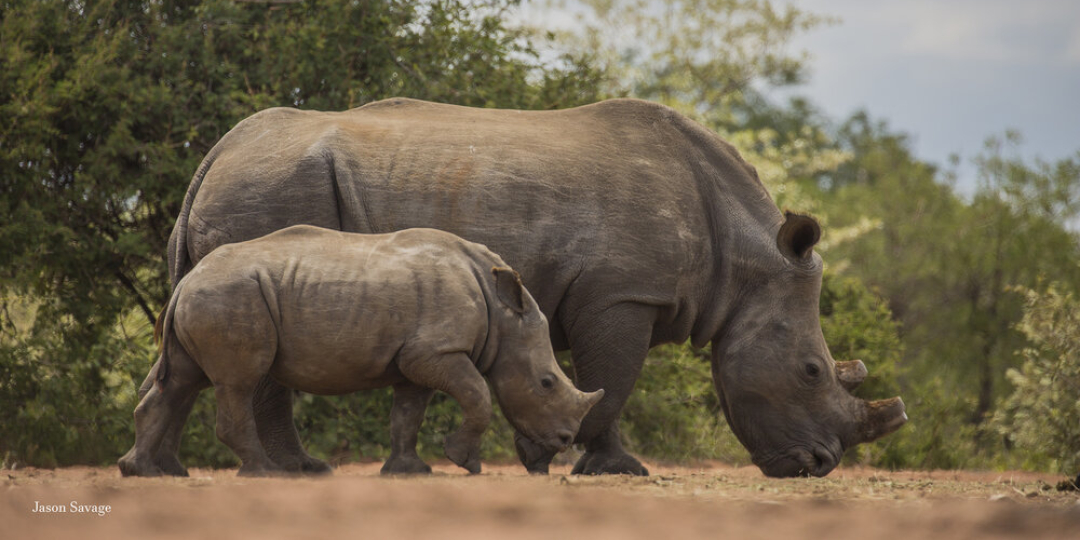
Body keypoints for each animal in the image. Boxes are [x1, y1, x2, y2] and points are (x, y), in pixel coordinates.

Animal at [124, 223, 609, 477]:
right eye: (546, 383)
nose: (565, 441)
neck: (502, 313)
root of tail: (187, 278)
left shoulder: (417, 357)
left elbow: (407, 414)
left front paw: (408, 471)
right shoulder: (437, 350)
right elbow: (477, 395)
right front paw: (465, 462)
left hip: (210, 297)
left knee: (182, 380)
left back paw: (140, 471)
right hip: (228, 295)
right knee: (236, 383)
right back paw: (267, 473)